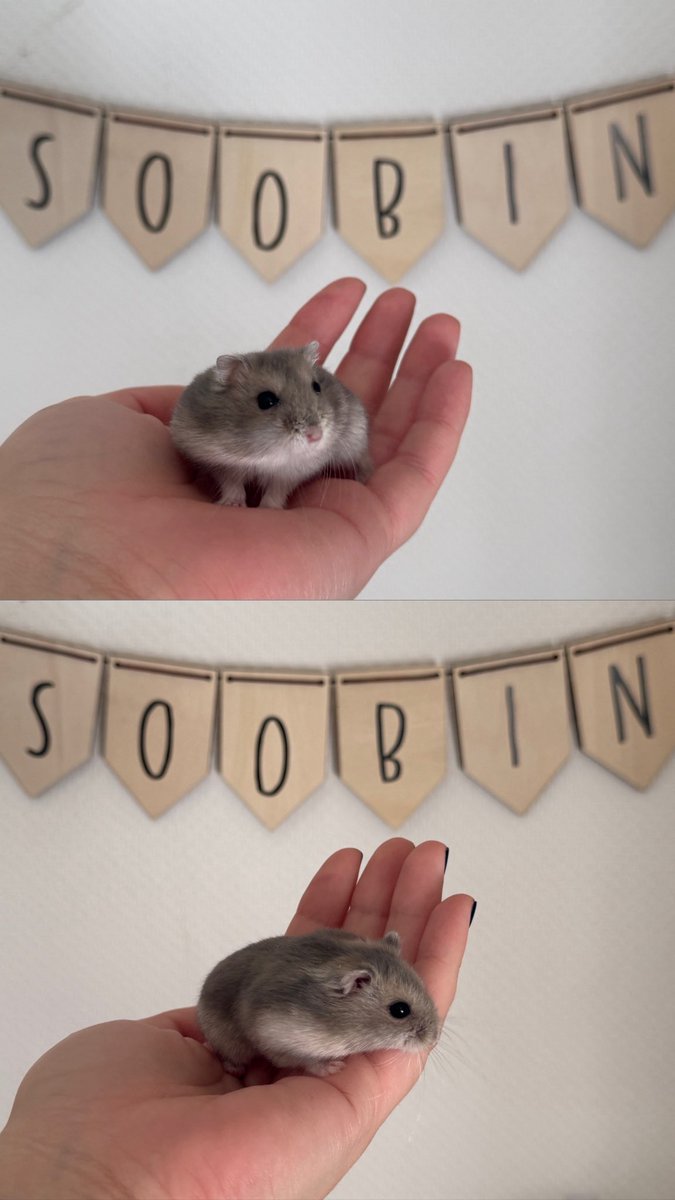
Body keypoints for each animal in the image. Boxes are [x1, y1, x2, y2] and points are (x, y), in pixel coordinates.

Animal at [170, 341, 373, 509]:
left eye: (317, 387)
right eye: (266, 400)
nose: (316, 435)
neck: (267, 455)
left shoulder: (294, 470)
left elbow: (277, 490)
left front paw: (268, 508)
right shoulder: (219, 463)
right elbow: (232, 484)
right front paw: (232, 504)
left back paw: (363, 479)